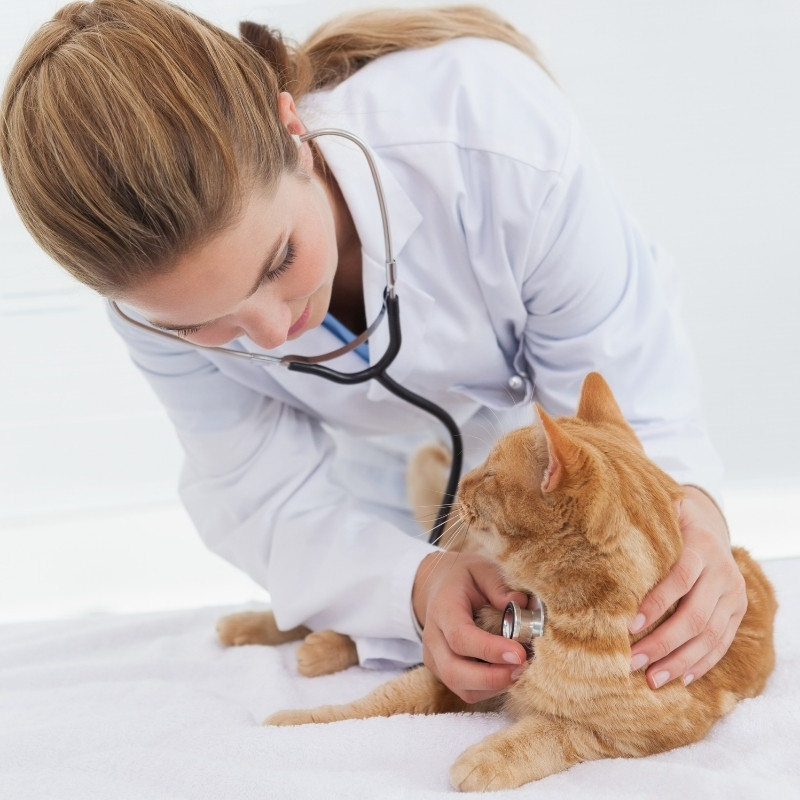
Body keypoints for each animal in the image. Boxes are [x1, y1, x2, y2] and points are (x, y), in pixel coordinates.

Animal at [217, 372, 776, 792]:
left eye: (488, 475)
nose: (463, 481)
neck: (555, 619)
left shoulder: (645, 736)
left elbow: (554, 734)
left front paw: (486, 758)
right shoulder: (453, 668)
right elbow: (374, 703)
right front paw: (297, 721)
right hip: (449, 554)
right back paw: (264, 631)